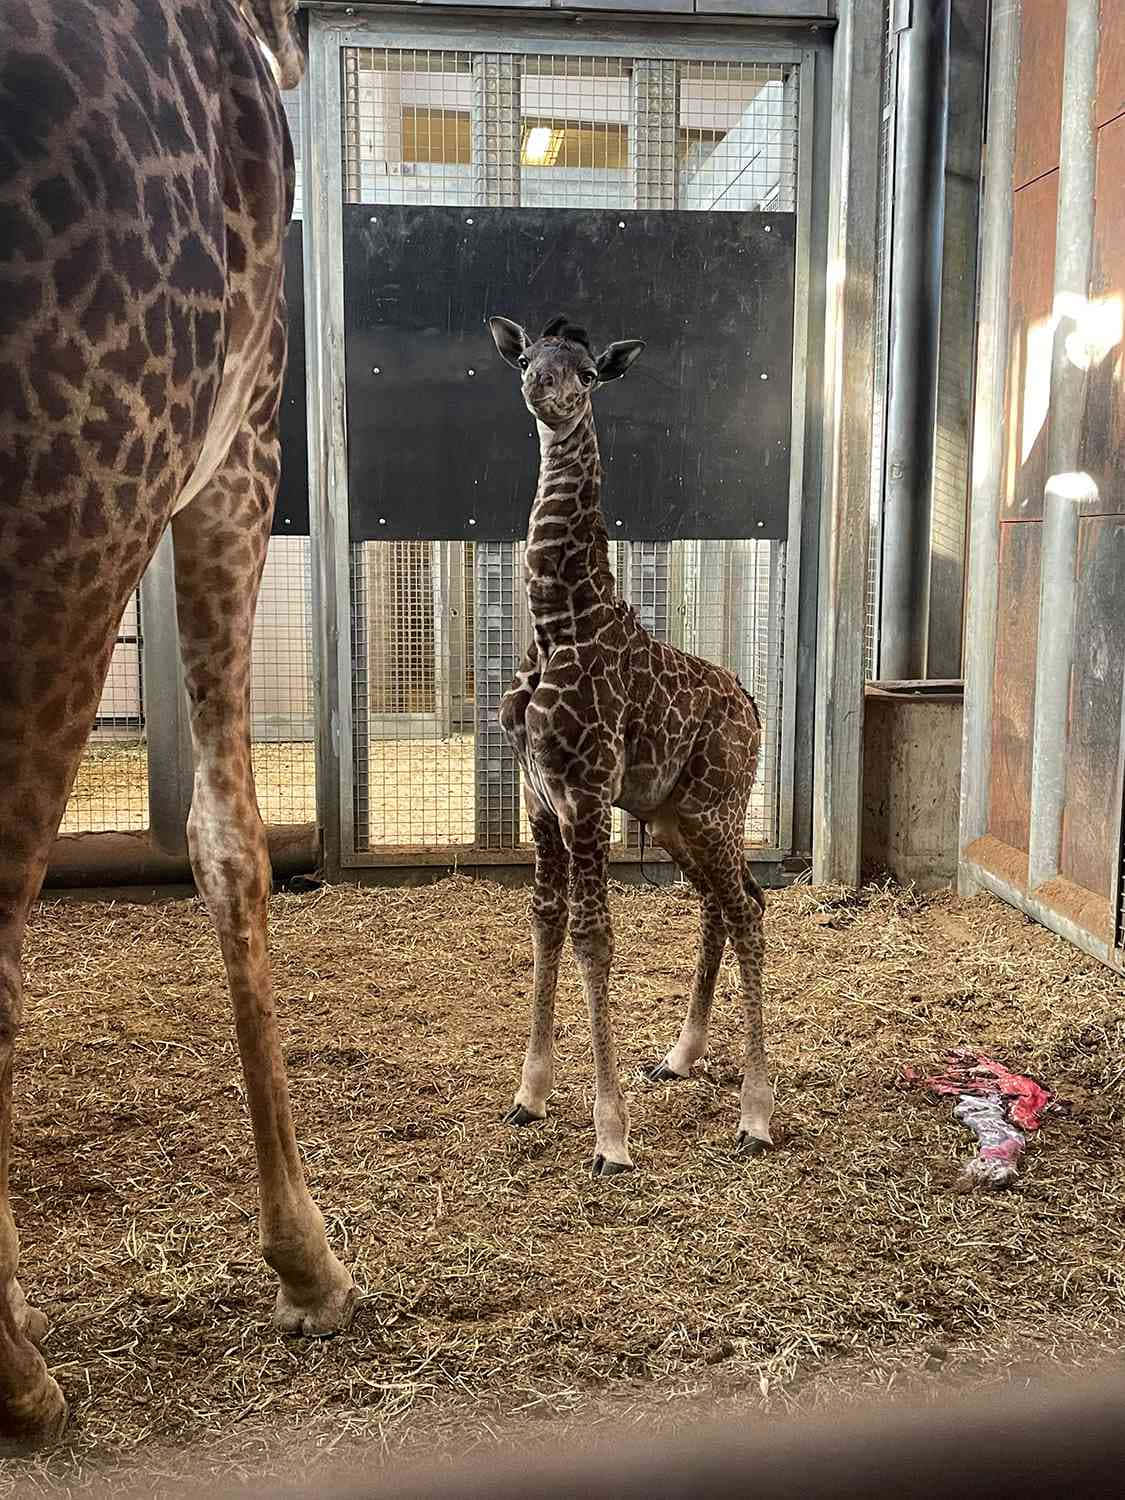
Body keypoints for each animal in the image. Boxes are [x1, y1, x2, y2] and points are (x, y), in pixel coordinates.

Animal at [488, 315, 772, 1178]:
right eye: (525, 356)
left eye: (585, 371)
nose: (541, 389)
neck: (556, 621)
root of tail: (752, 706)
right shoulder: (538, 798)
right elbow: (545, 922)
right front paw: (530, 1095)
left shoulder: (583, 793)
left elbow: (593, 937)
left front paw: (609, 1135)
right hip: (675, 817)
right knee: (721, 904)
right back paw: (679, 1057)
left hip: (715, 809)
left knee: (748, 910)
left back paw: (755, 1116)